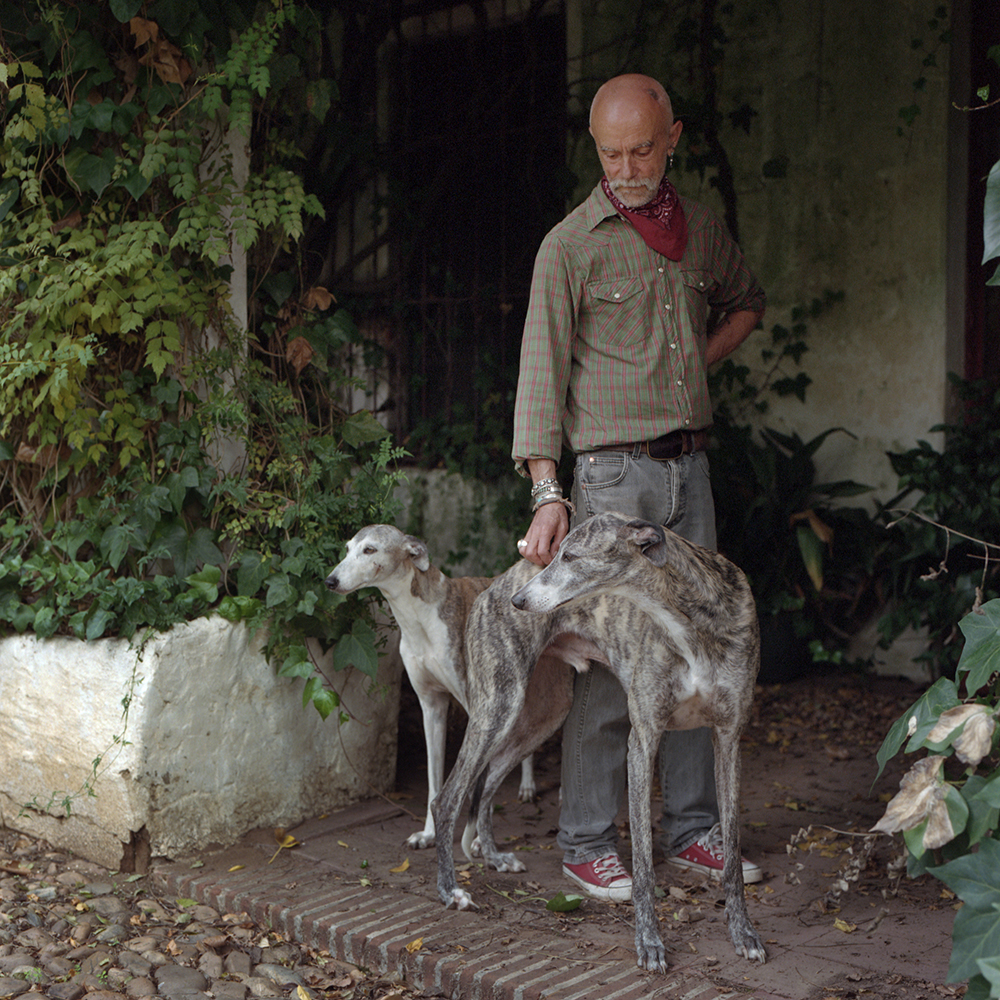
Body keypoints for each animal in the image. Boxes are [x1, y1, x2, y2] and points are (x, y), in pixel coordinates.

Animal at [324, 524, 539, 850]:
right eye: (347, 549)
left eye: (370, 549)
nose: (330, 581)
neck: (419, 618)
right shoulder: (431, 706)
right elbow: (434, 778)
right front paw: (428, 834)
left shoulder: (480, 709)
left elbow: (479, 777)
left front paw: (478, 838)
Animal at [431, 512, 766, 973]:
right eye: (555, 552)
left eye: (571, 556)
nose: (519, 601)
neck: (688, 619)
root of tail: (493, 585)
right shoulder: (642, 740)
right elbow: (643, 866)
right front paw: (649, 943)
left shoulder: (729, 737)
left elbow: (731, 856)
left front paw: (743, 933)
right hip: (498, 705)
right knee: (446, 798)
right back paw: (451, 891)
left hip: (541, 714)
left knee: (488, 780)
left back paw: (494, 857)